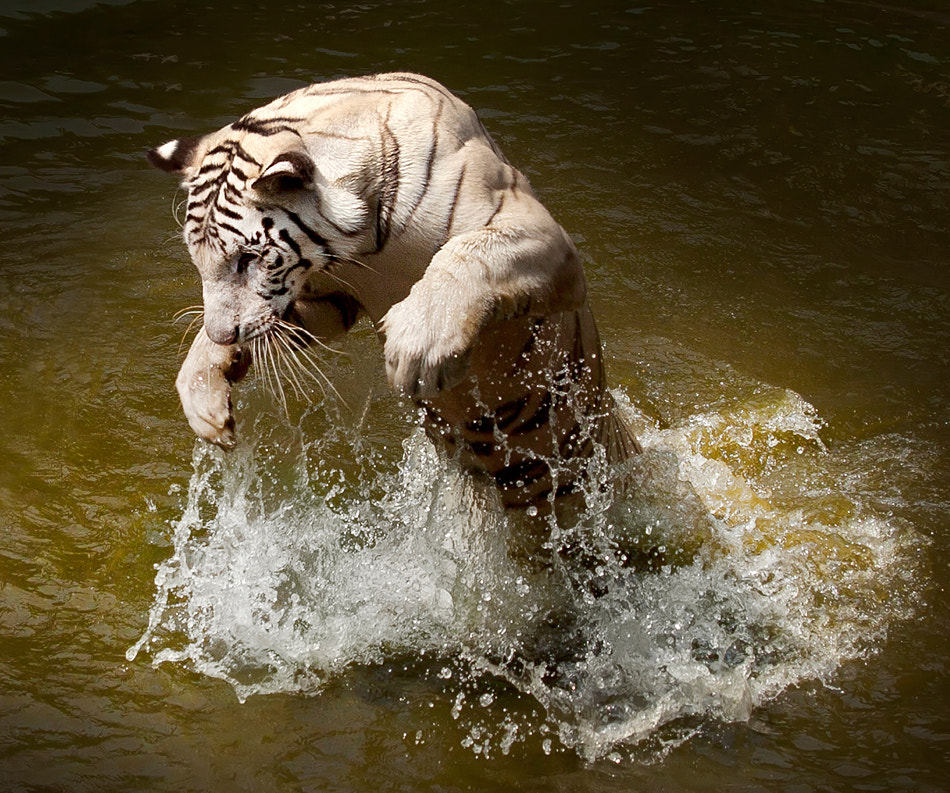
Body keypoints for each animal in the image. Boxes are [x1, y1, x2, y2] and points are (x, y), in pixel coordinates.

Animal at [149, 72, 640, 508]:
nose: (224, 335)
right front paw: (204, 398)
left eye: (248, 258)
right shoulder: (326, 296)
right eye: (198, 258)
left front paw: (418, 345)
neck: (363, 242)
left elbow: (467, 256)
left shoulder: (541, 236)